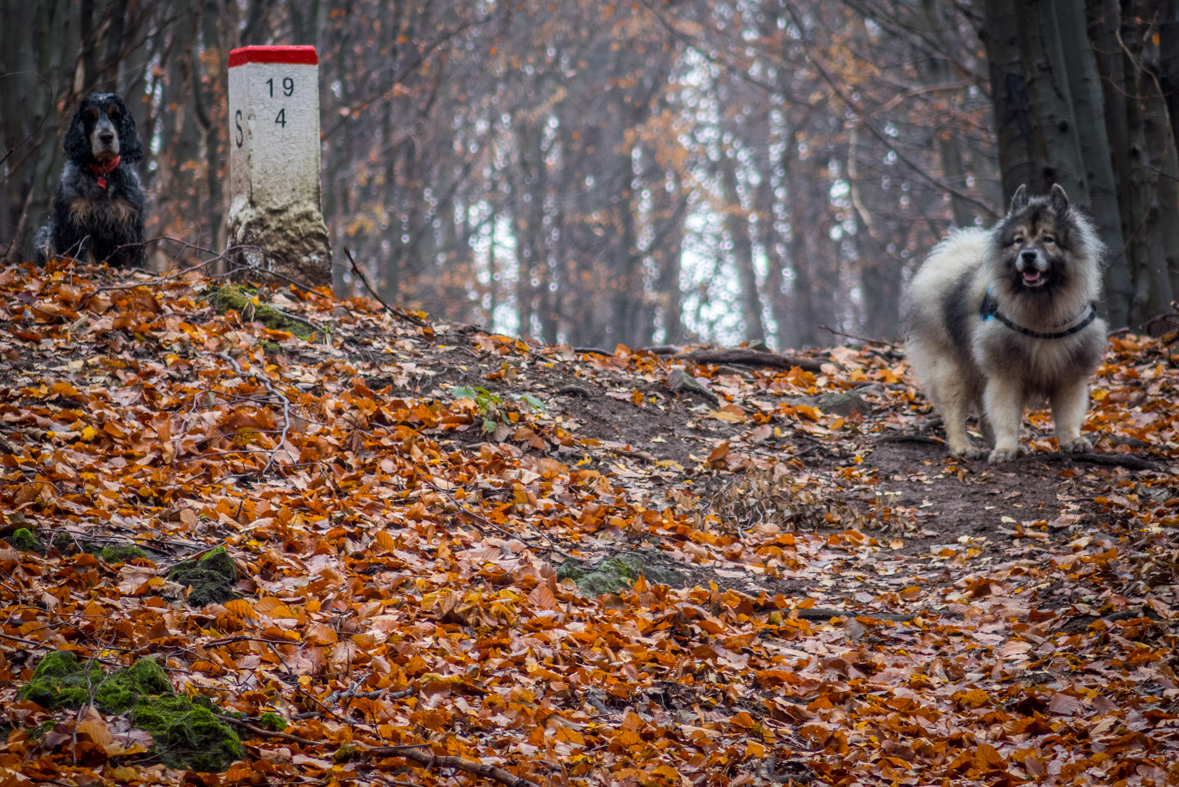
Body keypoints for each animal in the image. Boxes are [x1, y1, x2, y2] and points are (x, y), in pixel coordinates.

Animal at [900, 183, 1103, 461]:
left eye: (1048, 239)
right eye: (1019, 240)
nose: (1028, 255)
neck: (1041, 311)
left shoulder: (1069, 374)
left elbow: (1068, 415)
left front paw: (1073, 440)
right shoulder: (1005, 375)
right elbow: (1005, 417)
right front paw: (1005, 448)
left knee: (982, 419)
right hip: (951, 370)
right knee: (954, 414)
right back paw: (963, 447)